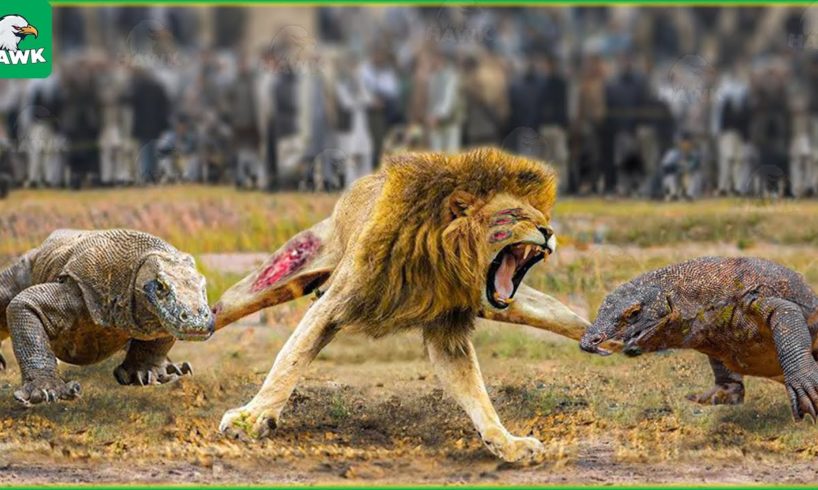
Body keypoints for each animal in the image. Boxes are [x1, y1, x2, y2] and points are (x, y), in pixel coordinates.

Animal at [212, 148, 591, 463]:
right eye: (513, 215)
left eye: (541, 215)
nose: (548, 230)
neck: (447, 258)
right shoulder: (335, 303)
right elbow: (289, 358)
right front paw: (250, 419)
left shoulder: (449, 328)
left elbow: (475, 392)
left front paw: (507, 443)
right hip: (291, 268)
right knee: (226, 307)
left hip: (514, 304)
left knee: (561, 316)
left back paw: (599, 335)